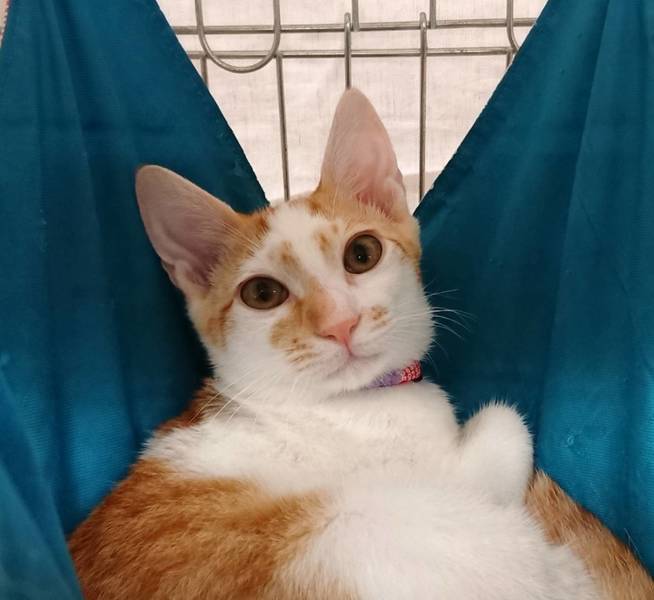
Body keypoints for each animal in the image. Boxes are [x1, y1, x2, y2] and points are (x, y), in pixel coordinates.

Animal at [69, 88, 651, 599]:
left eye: (362, 253)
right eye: (262, 294)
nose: (340, 323)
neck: (357, 402)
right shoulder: (460, 480)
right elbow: (507, 425)